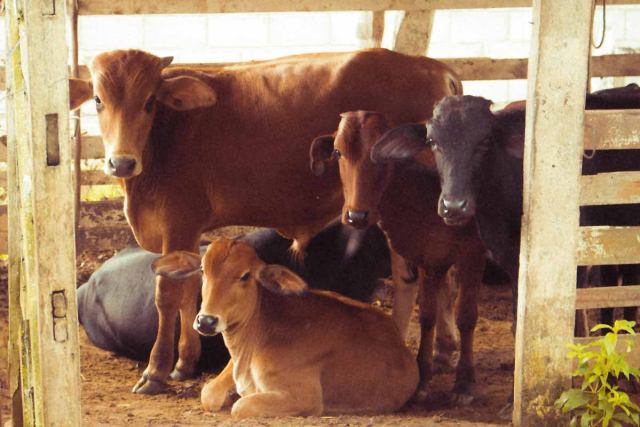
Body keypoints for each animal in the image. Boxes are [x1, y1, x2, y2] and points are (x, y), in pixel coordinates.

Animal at [152, 238, 419, 418]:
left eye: (246, 276)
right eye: (202, 271)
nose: (206, 321)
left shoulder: (305, 396)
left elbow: (242, 406)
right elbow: (208, 394)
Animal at [309, 111, 485, 405]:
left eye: (381, 154)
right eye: (337, 152)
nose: (357, 215)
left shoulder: (473, 254)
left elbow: (466, 315)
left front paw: (463, 384)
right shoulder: (428, 256)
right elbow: (427, 315)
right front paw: (422, 378)